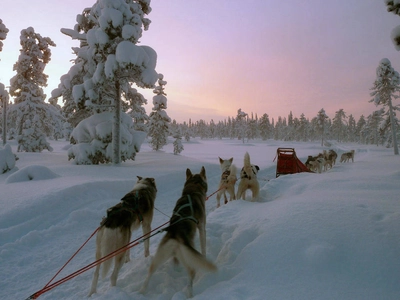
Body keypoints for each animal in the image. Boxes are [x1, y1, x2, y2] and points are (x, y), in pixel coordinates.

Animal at [140, 166, 217, 298]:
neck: (191, 191)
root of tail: (176, 235)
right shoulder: (202, 228)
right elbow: (203, 247)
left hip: (160, 257)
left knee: (150, 272)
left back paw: (142, 291)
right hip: (189, 260)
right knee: (190, 276)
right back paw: (190, 293)